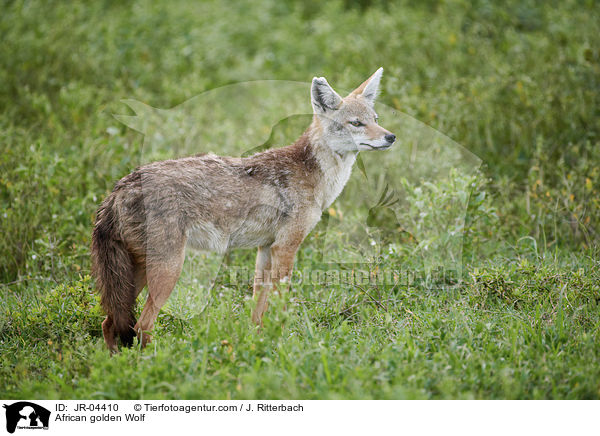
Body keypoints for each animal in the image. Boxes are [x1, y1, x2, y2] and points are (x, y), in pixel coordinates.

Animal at [92, 69, 394, 354]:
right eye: (356, 123)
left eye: (376, 118)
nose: (391, 137)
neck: (315, 175)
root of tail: (120, 187)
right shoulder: (286, 248)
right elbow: (281, 305)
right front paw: (284, 343)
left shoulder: (266, 250)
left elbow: (258, 311)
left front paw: (260, 344)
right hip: (167, 270)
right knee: (142, 325)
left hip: (137, 273)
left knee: (109, 322)